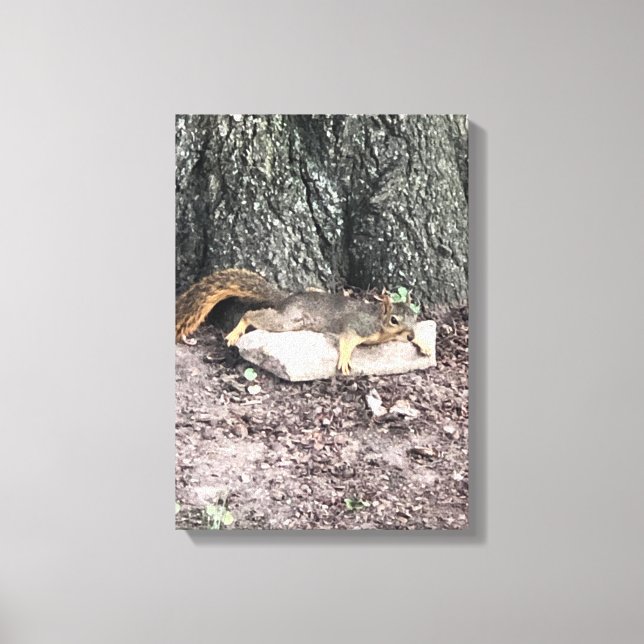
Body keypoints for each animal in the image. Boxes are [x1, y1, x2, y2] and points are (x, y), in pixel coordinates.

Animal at [175, 268, 420, 375]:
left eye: (415, 317)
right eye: (394, 320)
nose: (410, 335)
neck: (379, 322)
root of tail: (286, 298)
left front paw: (422, 344)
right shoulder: (358, 326)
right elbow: (346, 340)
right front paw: (344, 359)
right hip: (288, 321)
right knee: (251, 314)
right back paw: (236, 332)